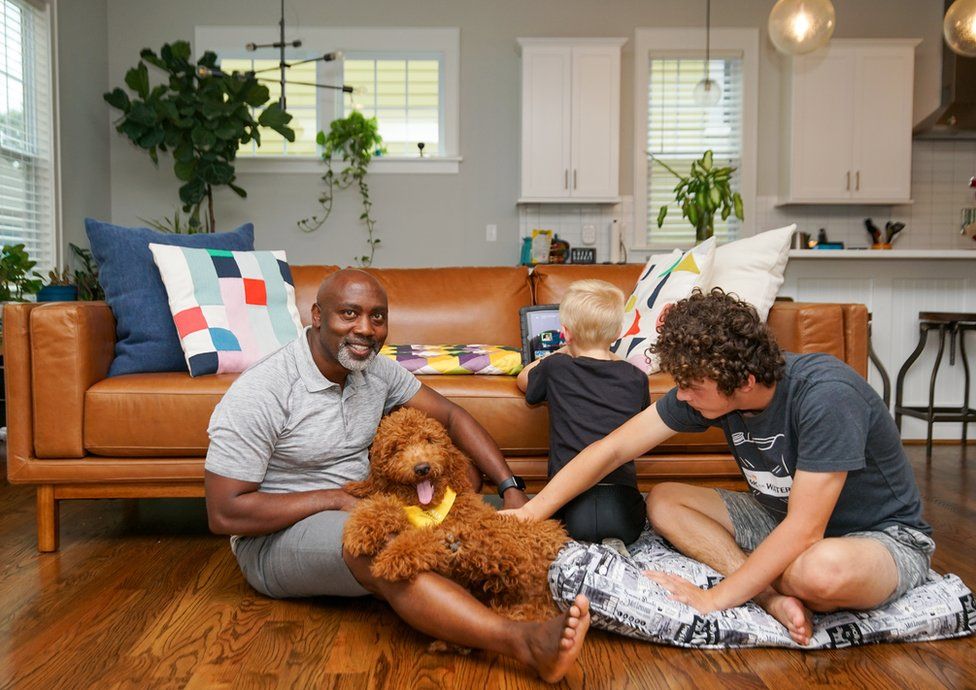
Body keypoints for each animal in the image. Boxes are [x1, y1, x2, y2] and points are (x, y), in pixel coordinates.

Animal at [346, 404, 568, 620]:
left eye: (429, 440)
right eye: (395, 448)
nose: (422, 468)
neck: (429, 508)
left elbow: (424, 536)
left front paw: (394, 555)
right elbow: (385, 505)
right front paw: (362, 527)